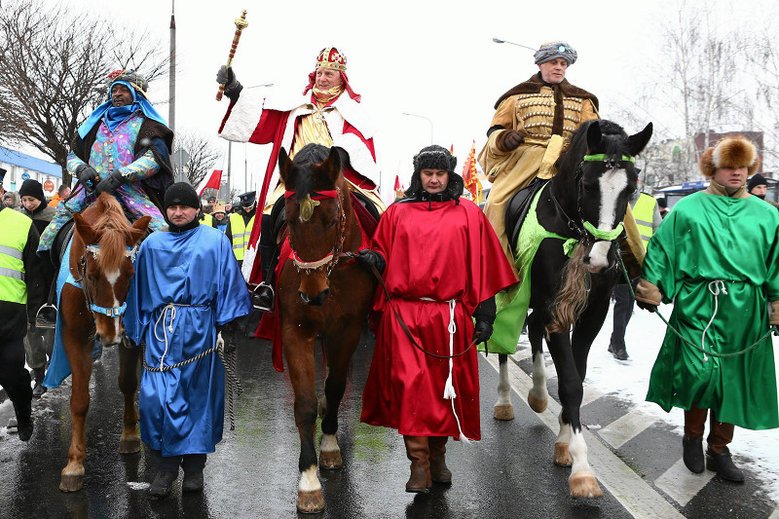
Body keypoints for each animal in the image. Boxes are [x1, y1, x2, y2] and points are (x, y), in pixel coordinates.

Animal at [58, 194, 151, 492]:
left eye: (131, 274)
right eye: (91, 274)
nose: (110, 335)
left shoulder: (131, 336)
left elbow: (128, 383)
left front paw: (130, 435)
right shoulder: (74, 337)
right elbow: (79, 400)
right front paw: (74, 464)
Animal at [278, 144, 378, 512]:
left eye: (333, 220)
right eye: (289, 219)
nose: (312, 294)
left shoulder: (347, 331)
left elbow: (335, 387)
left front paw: (330, 446)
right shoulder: (296, 329)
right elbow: (305, 404)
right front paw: (308, 482)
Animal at [494, 120, 652, 498]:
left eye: (632, 188)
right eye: (587, 183)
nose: (600, 259)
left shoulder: (592, 314)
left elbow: (576, 376)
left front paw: (565, 443)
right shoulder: (557, 308)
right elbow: (569, 383)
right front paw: (582, 468)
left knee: (533, 327)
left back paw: (537, 394)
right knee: (504, 343)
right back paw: (505, 401)